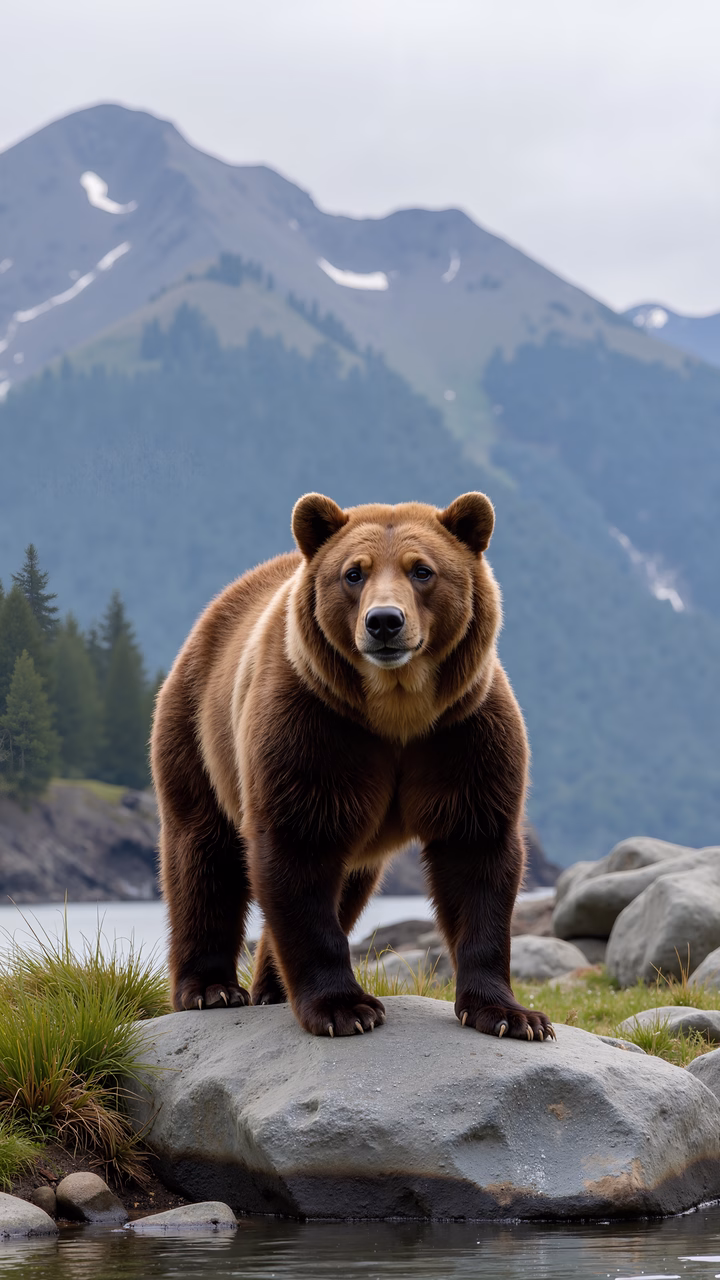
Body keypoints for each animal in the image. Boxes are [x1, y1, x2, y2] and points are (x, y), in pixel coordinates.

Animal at [151, 492, 554, 1042]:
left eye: (422, 570)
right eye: (353, 573)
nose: (384, 621)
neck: (397, 712)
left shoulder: (462, 732)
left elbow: (477, 854)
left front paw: (512, 1015)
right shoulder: (314, 729)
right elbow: (297, 850)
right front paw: (344, 1008)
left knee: (349, 886)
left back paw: (270, 987)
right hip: (198, 729)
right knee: (203, 855)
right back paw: (210, 988)